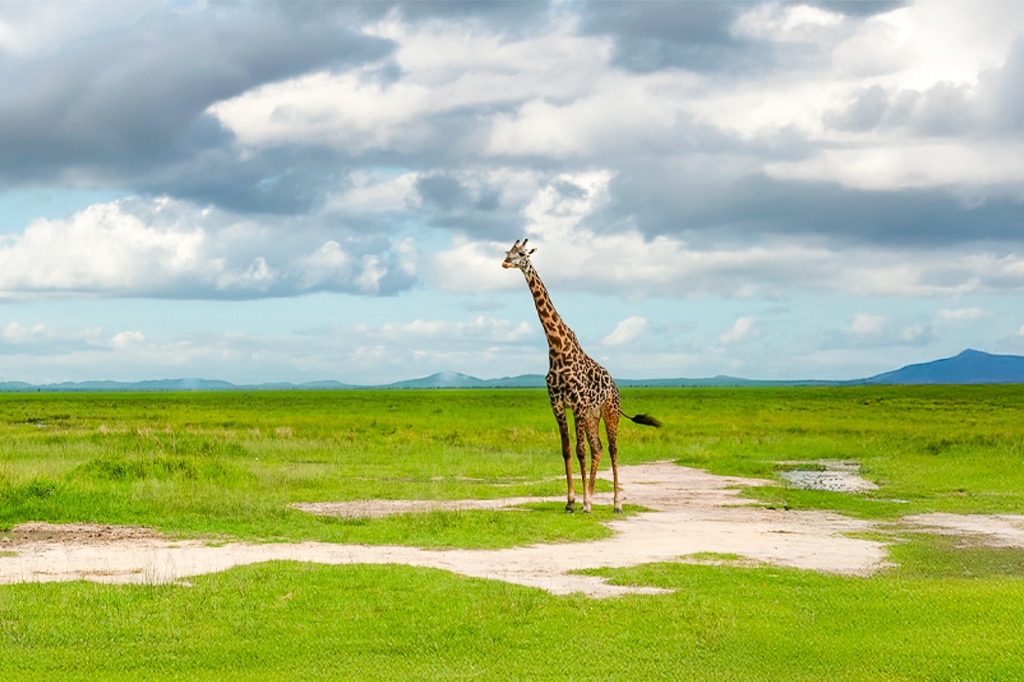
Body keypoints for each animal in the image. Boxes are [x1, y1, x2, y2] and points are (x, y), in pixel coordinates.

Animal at [503, 238, 661, 514]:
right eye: (507, 252)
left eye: (521, 253)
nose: (505, 263)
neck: (557, 348)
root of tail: (615, 387)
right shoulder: (557, 404)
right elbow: (567, 449)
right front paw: (571, 502)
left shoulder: (576, 404)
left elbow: (580, 450)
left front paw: (583, 503)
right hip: (592, 414)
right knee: (598, 448)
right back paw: (593, 498)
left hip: (608, 412)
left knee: (612, 449)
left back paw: (616, 503)